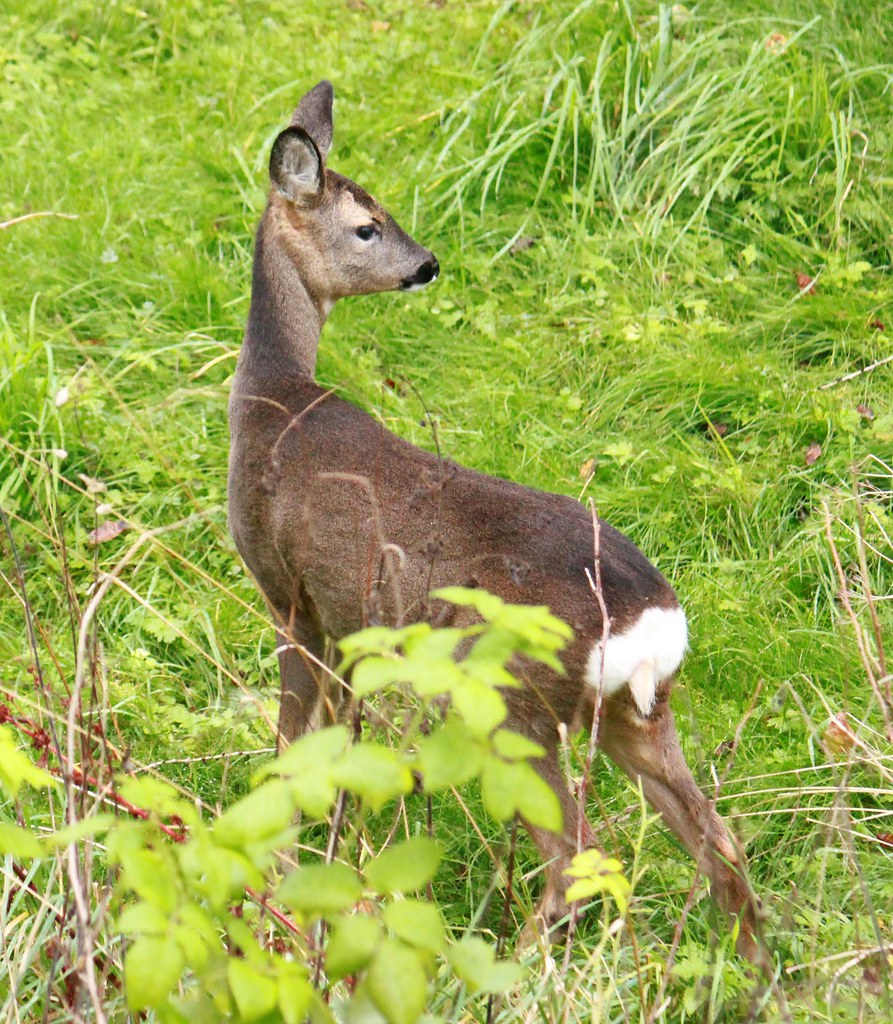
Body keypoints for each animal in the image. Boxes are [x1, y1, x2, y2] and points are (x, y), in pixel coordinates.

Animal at [227, 80, 760, 960]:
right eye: (367, 223)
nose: (426, 264)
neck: (271, 404)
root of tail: (652, 620)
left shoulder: (289, 590)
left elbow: (290, 747)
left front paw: (279, 883)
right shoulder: (348, 622)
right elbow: (335, 750)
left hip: (512, 701)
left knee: (577, 854)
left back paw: (492, 966)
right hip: (637, 709)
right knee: (719, 842)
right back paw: (759, 974)